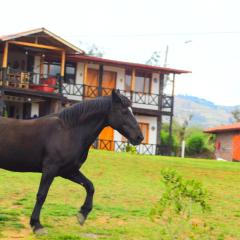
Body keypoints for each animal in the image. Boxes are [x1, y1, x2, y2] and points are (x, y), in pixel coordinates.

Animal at [0, 89, 142, 233]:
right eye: (124, 111)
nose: (139, 137)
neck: (68, 131)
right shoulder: (50, 169)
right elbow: (41, 195)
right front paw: (37, 225)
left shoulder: (68, 171)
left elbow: (90, 186)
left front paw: (82, 214)